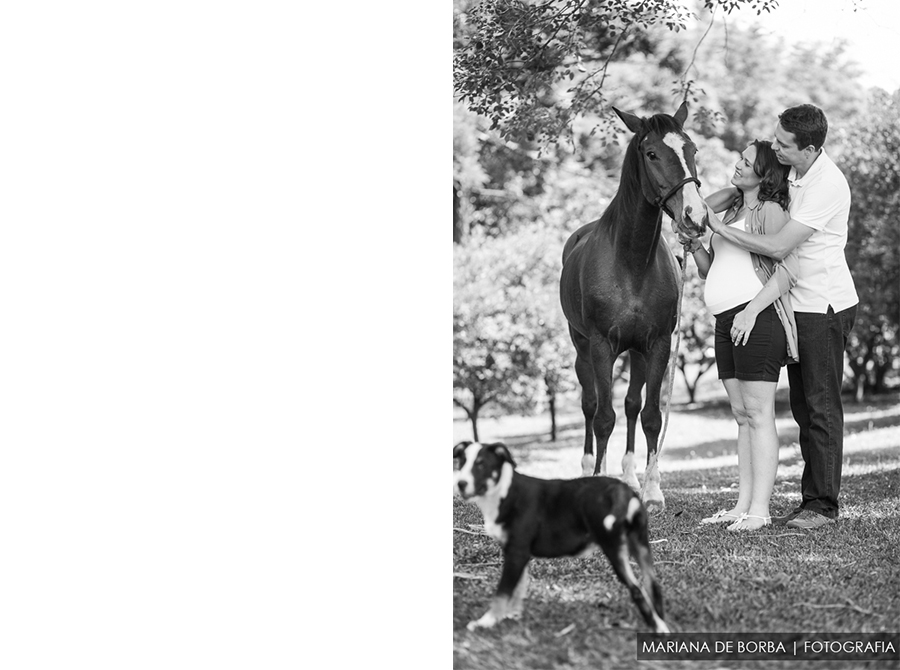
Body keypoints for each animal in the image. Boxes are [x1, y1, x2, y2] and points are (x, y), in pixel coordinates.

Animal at [450, 440, 668, 636]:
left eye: (481, 464)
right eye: (461, 463)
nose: (460, 484)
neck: (504, 492)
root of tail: (623, 492)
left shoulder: (516, 553)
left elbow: (502, 592)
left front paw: (487, 621)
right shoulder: (519, 555)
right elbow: (517, 588)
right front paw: (511, 615)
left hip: (614, 547)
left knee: (637, 590)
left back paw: (656, 627)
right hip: (640, 544)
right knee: (653, 584)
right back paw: (661, 624)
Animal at [556, 102, 712, 512]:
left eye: (692, 149)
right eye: (651, 153)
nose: (695, 217)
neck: (631, 262)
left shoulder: (656, 345)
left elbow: (651, 416)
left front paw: (652, 490)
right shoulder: (600, 346)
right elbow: (603, 417)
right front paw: (598, 481)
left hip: (636, 353)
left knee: (630, 404)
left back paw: (628, 477)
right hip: (582, 348)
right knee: (590, 405)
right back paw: (589, 469)